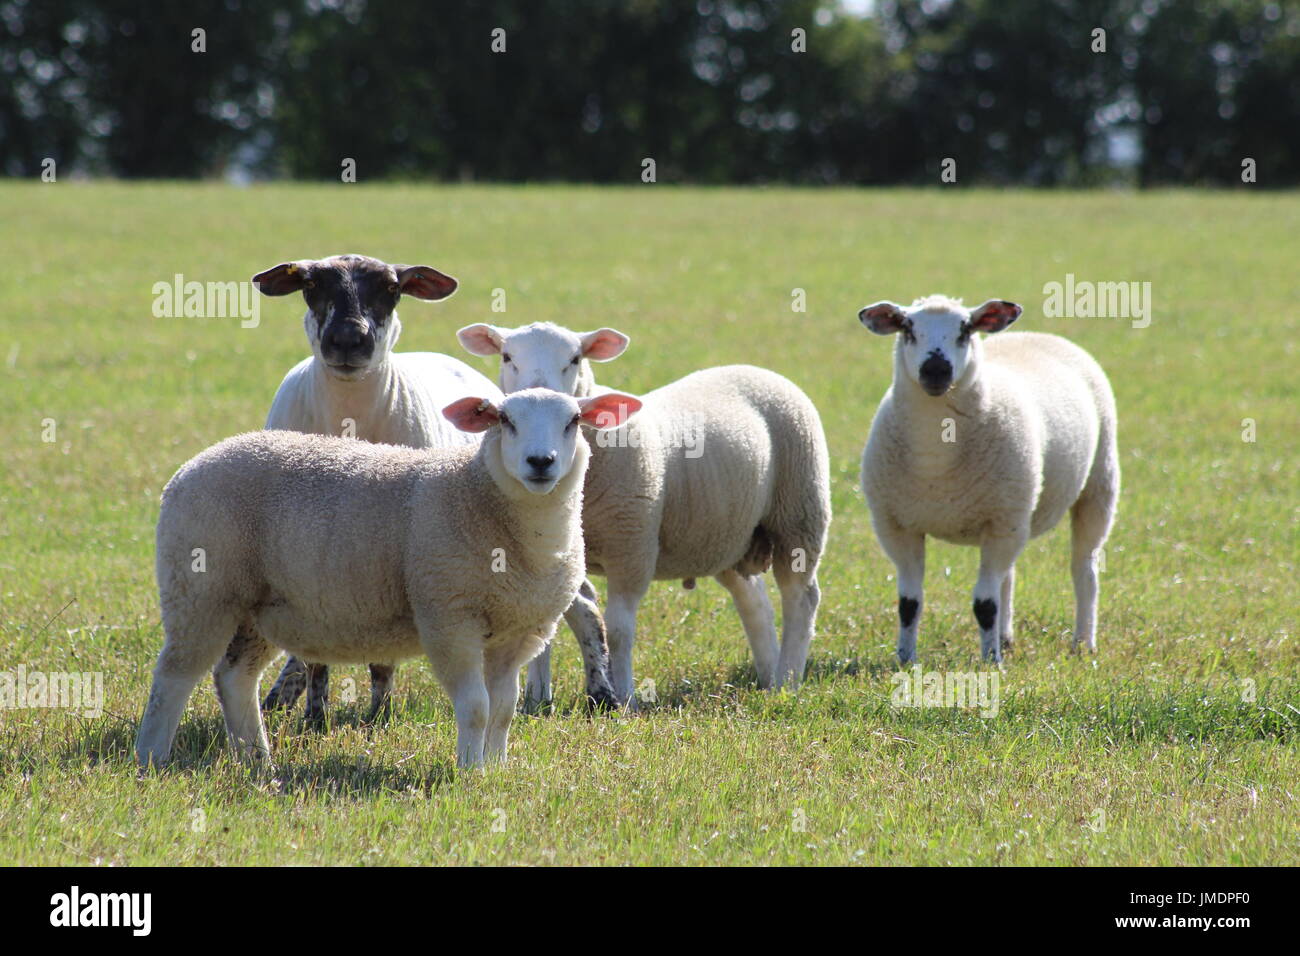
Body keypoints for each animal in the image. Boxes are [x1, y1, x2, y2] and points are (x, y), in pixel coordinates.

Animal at [138, 382, 644, 770]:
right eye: (504, 420)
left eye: (573, 420)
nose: (541, 462)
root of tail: (191, 466)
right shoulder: (448, 617)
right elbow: (476, 708)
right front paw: (469, 772)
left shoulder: (517, 633)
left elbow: (503, 710)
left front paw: (496, 769)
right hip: (200, 589)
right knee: (173, 677)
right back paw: (152, 759)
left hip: (258, 605)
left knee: (234, 677)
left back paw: (257, 761)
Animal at [250, 251, 504, 723]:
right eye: (311, 286)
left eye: (391, 288)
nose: (349, 339)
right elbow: (316, 656)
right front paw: (315, 719)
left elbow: (384, 660)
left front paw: (378, 719)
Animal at [454, 325, 832, 707]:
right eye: (507, 356)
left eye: (575, 358)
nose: (538, 388)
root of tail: (754, 368)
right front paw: (536, 698)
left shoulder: (631, 547)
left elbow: (619, 629)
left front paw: (625, 698)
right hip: (726, 535)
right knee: (754, 601)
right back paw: (768, 676)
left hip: (799, 513)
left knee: (801, 597)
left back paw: (787, 682)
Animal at [857, 293, 1123, 665]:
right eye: (908, 328)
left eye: (965, 330)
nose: (935, 370)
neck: (935, 461)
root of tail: (1036, 334)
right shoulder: (897, 526)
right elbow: (909, 604)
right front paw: (905, 659)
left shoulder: (1000, 523)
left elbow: (984, 604)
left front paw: (990, 663)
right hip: (1014, 515)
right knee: (1006, 577)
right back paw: (1006, 638)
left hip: (1097, 485)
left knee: (1084, 570)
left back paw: (1083, 643)